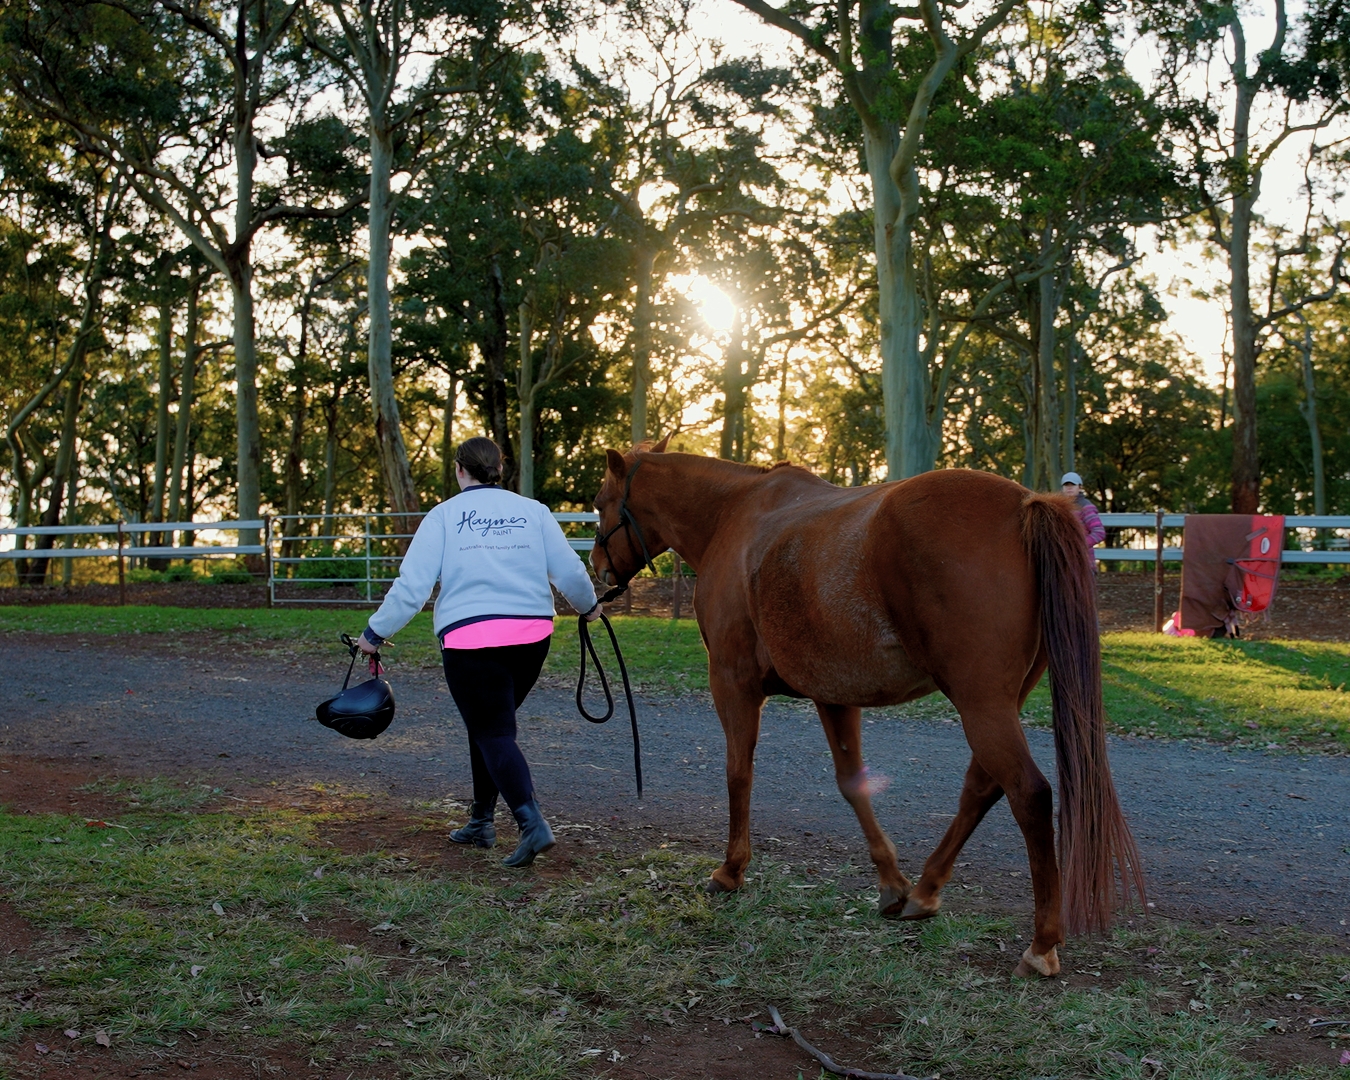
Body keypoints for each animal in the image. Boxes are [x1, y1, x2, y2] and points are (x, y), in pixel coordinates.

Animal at [589, 440, 1144, 978]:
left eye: (598, 502)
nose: (596, 570)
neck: (736, 514)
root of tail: (1024, 504)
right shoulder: (833, 694)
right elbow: (853, 784)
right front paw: (891, 884)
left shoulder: (732, 682)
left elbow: (738, 774)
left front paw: (730, 870)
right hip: (1001, 701)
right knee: (982, 789)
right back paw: (925, 891)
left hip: (981, 703)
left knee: (1029, 793)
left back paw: (1041, 943)